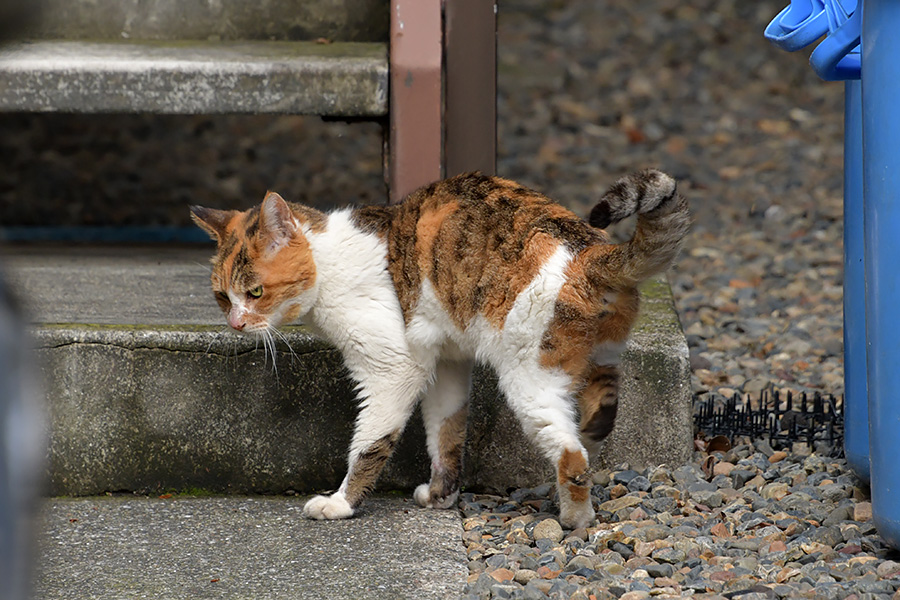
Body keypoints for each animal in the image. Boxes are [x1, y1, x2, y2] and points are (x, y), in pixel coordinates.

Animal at [192, 170, 688, 528]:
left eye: (255, 292)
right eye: (222, 297)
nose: (236, 322)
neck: (328, 261)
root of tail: (588, 249)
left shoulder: (393, 367)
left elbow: (369, 444)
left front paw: (342, 503)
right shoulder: (447, 361)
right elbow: (446, 433)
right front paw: (441, 495)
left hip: (527, 377)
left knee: (571, 455)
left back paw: (575, 518)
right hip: (599, 364)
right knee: (594, 430)